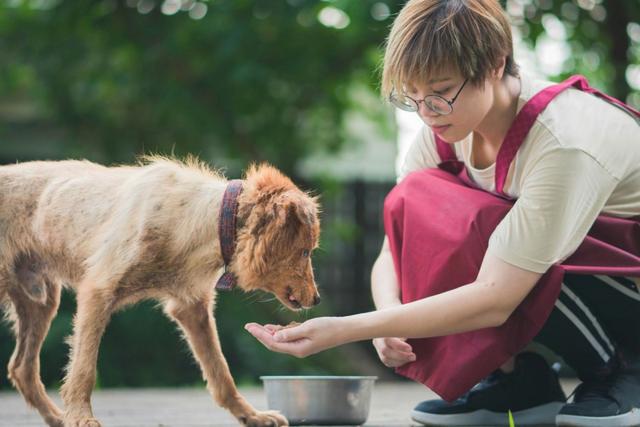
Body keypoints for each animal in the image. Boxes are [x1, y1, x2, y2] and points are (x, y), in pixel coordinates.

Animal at [0, 158, 320, 427]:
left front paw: (251, 415)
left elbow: (221, 373)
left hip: (40, 301)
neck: (206, 220)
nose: (317, 299)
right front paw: (81, 417)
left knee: (21, 369)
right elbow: (84, 369)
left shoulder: (191, 308)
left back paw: (57, 418)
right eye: (305, 251)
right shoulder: (98, 291)